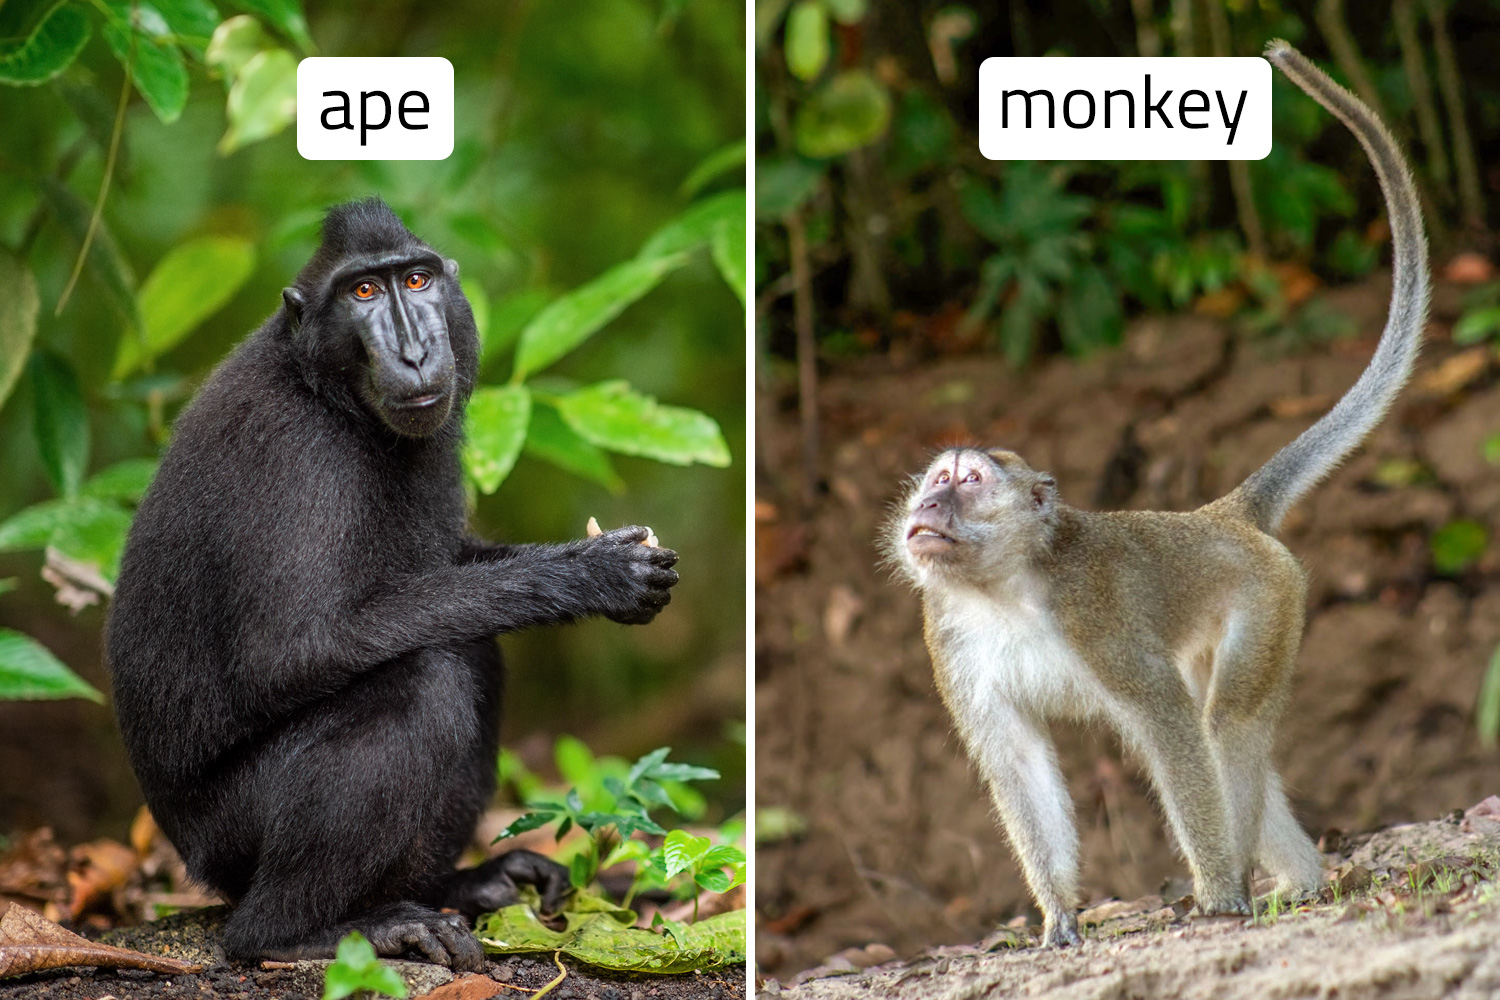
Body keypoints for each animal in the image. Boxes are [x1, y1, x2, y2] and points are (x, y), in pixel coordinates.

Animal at [105, 199, 681, 971]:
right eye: (363, 293)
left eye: (416, 279)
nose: (411, 351)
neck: (329, 392)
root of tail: (182, 846)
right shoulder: (293, 453)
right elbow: (289, 651)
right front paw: (591, 574)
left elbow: (454, 562)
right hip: (231, 836)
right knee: (422, 681)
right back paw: (305, 931)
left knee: (474, 651)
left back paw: (457, 886)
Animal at [886, 41, 1427, 948]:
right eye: (934, 482)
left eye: (968, 482)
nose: (927, 512)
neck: (1006, 587)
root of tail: (1221, 516)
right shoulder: (947, 634)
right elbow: (1019, 760)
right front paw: (1060, 914)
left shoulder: (1090, 610)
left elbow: (1169, 725)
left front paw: (1214, 889)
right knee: (1228, 724)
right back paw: (1304, 882)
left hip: (1271, 598)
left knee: (1226, 725)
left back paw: (1241, 881)